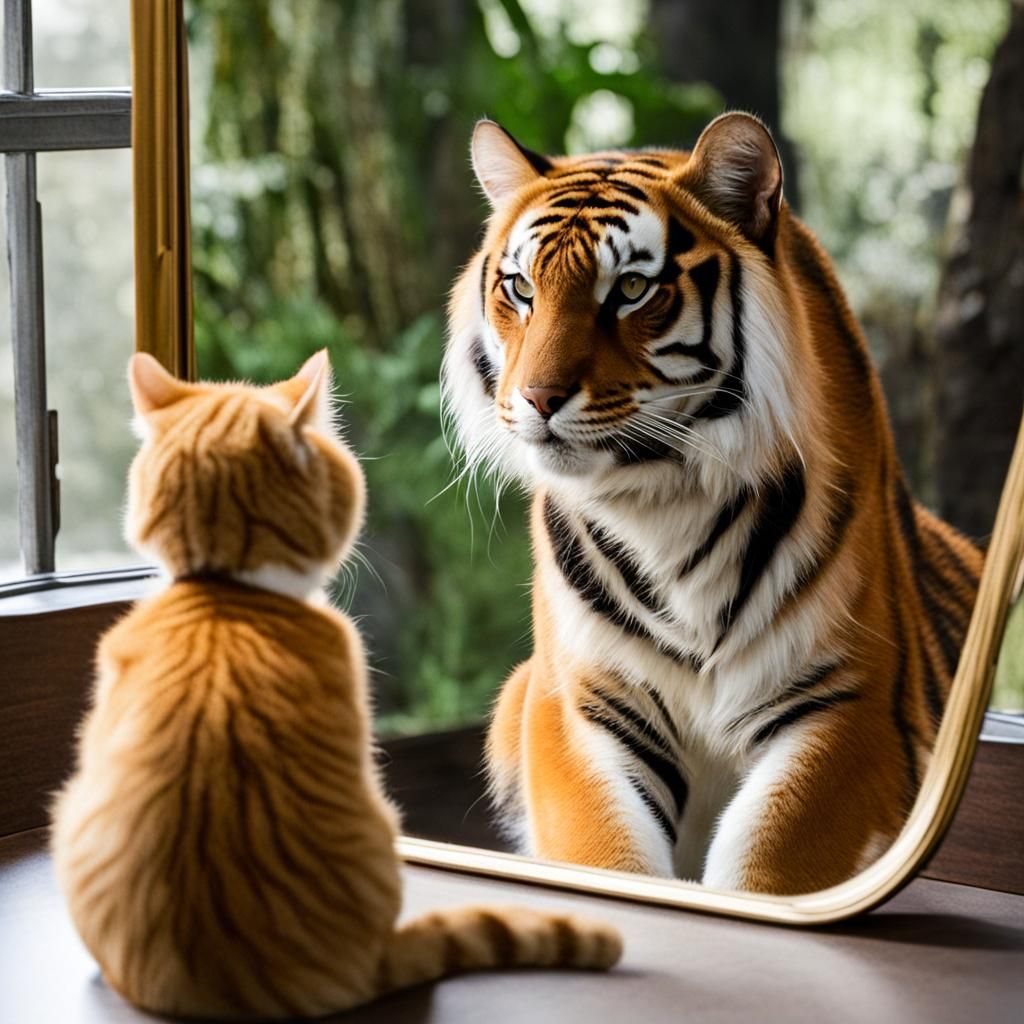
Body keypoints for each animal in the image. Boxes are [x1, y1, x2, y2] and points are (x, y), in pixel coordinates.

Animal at [442, 112, 984, 895]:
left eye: (632, 288)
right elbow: (604, 849)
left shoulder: (849, 704)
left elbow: (771, 859)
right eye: (519, 287)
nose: (538, 399)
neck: (663, 504)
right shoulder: (576, 700)